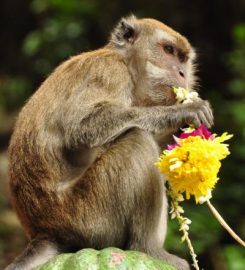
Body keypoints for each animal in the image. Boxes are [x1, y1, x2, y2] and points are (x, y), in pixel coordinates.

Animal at [5, 15, 212, 270]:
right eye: (169, 50)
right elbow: (83, 128)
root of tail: (45, 232)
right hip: (89, 217)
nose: (183, 73)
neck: (126, 63)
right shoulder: (108, 72)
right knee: (137, 140)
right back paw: (148, 249)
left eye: (183, 58)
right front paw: (182, 112)